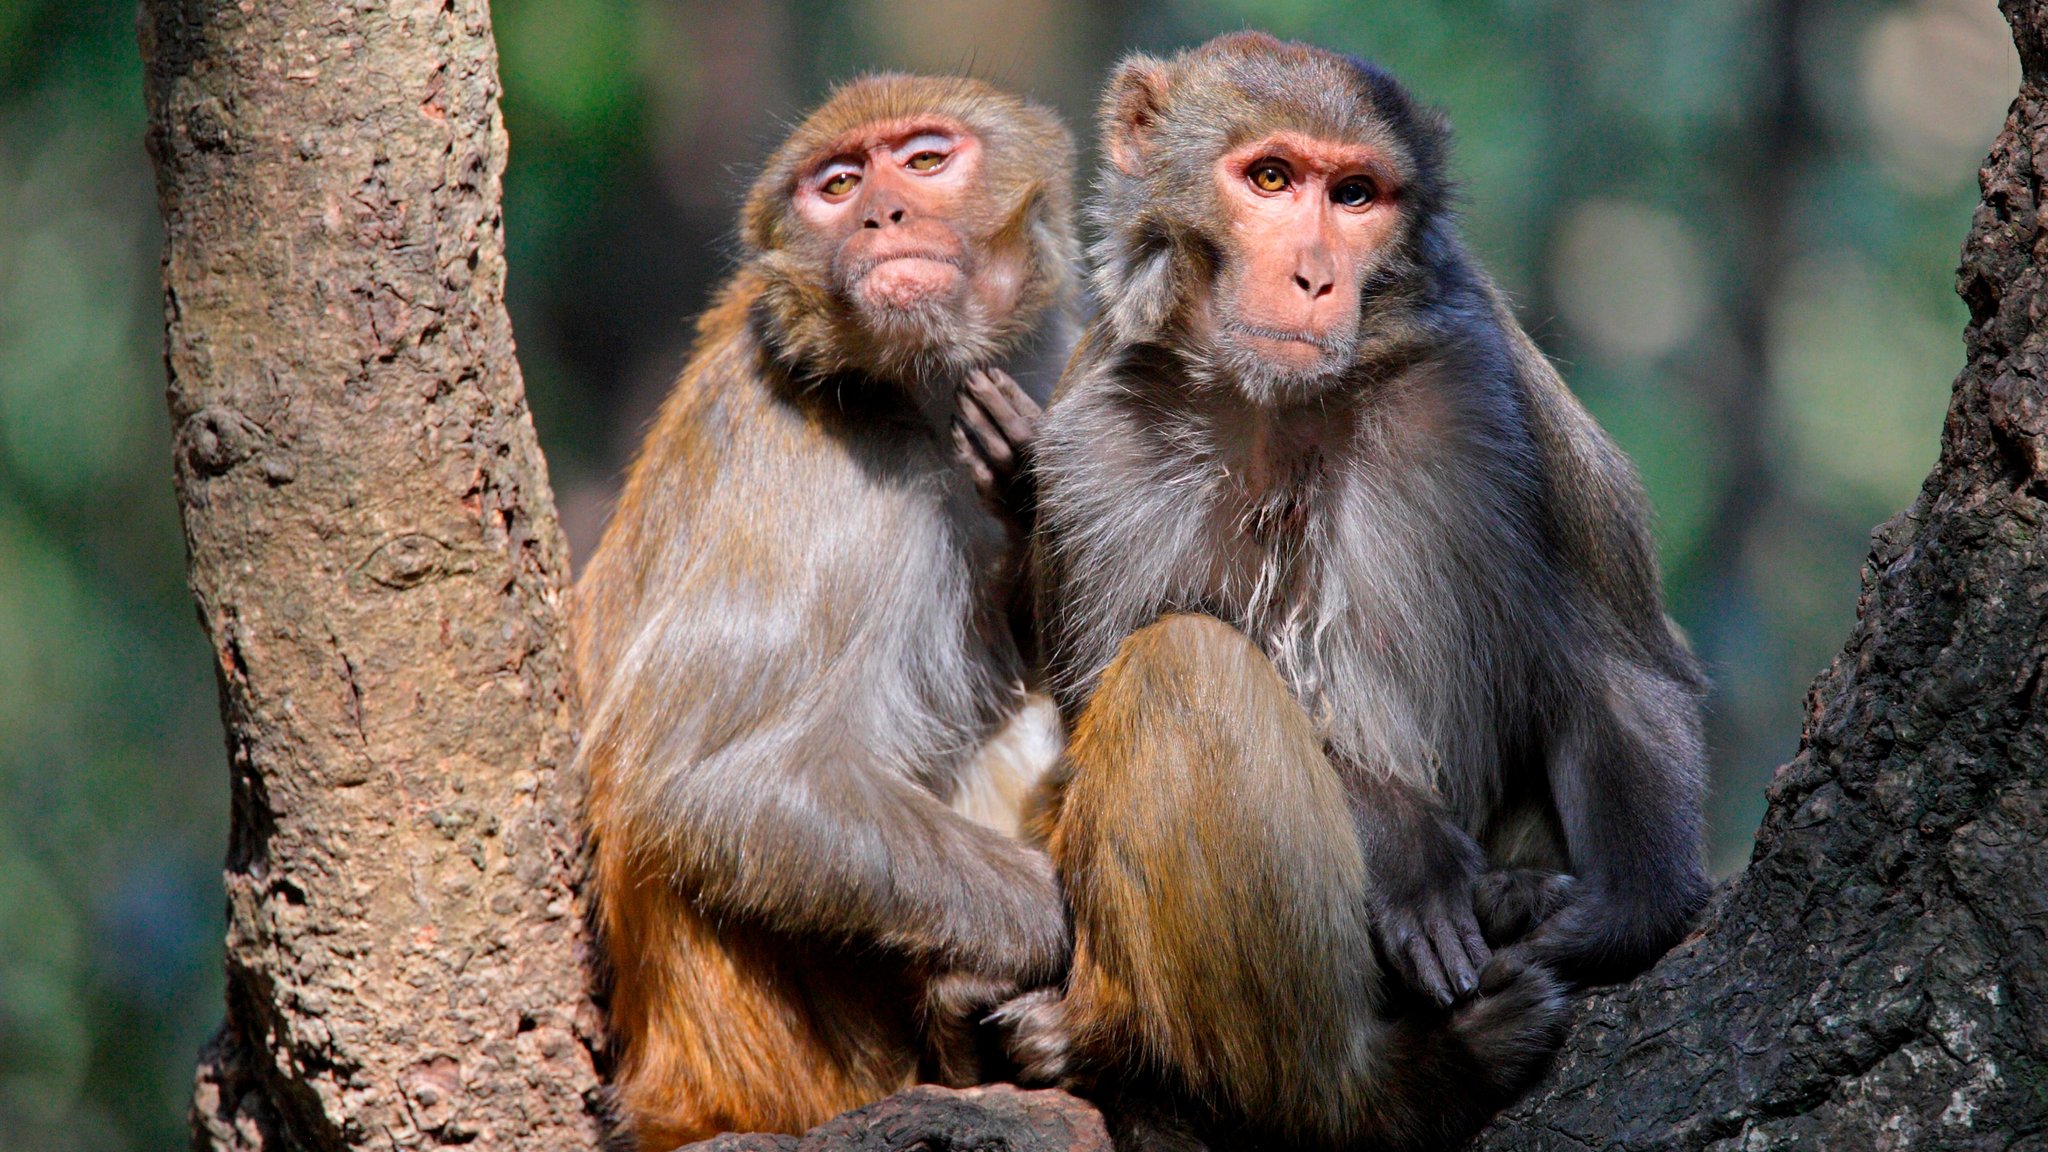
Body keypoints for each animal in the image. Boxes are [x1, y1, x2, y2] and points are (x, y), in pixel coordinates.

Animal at [573, 76, 1081, 1139]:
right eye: (839, 186)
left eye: (925, 161)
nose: (883, 215)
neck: (909, 394)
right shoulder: (849, 488)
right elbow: (718, 786)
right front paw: (1064, 928)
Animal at [1011, 31, 1712, 1139]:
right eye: (1268, 178)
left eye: (1354, 195)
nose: (1312, 277)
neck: (1276, 409)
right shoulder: (1091, 448)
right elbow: (1088, 730)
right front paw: (1406, 850)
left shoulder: (1488, 387)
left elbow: (1615, 660)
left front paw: (1614, 910)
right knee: (1182, 669)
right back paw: (1367, 1085)